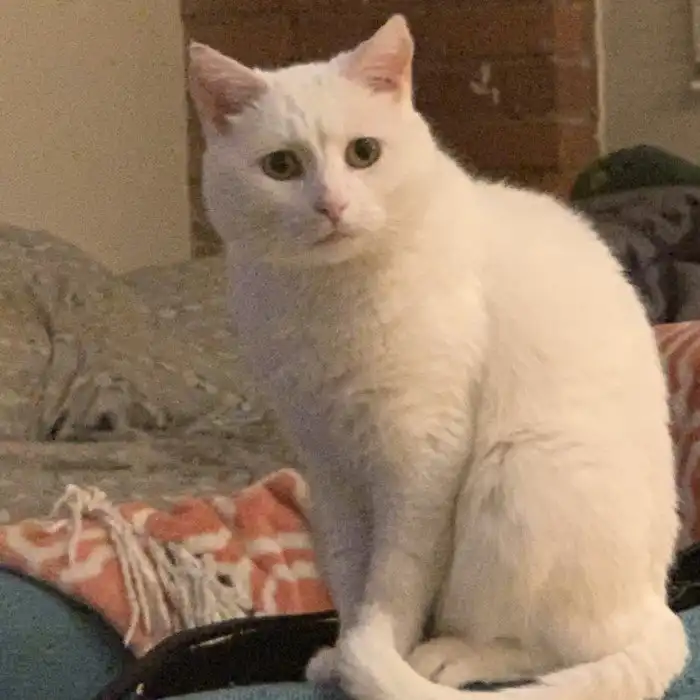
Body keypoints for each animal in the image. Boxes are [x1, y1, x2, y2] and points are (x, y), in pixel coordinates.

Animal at [188, 14, 688, 700]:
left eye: (364, 153)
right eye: (282, 165)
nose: (331, 206)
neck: (328, 299)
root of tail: (657, 602)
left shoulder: (420, 458)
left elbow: (393, 584)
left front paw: (376, 656)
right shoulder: (331, 468)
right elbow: (353, 579)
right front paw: (342, 655)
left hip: (520, 473)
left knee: (550, 649)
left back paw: (449, 657)